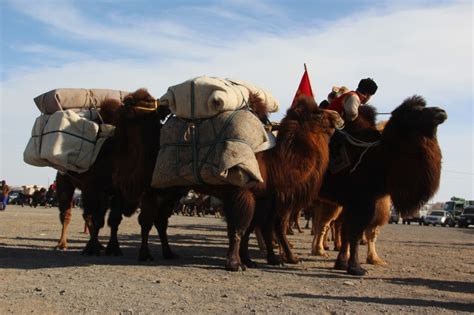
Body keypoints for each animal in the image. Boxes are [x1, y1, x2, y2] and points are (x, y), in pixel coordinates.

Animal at [113, 93, 344, 270]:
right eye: (318, 113)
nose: (338, 116)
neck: (277, 162)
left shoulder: (263, 197)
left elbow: (257, 228)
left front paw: (260, 260)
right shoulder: (243, 192)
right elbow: (240, 228)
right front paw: (235, 263)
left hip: (171, 191)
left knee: (161, 220)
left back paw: (168, 253)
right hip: (154, 190)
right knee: (146, 220)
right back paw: (145, 254)